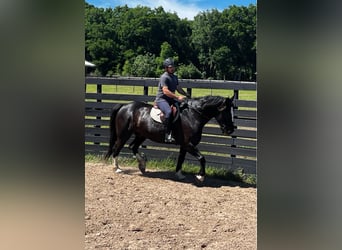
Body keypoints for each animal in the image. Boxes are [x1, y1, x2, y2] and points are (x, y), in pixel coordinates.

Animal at [105, 94, 235, 183]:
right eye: (226, 112)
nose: (230, 130)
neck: (192, 115)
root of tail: (124, 106)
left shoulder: (184, 145)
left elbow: (181, 159)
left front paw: (179, 174)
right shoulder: (188, 144)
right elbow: (202, 158)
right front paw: (200, 176)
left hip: (141, 135)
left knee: (133, 147)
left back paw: (142, 165)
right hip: (124, 135)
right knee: (117, 148)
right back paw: (117, 168)